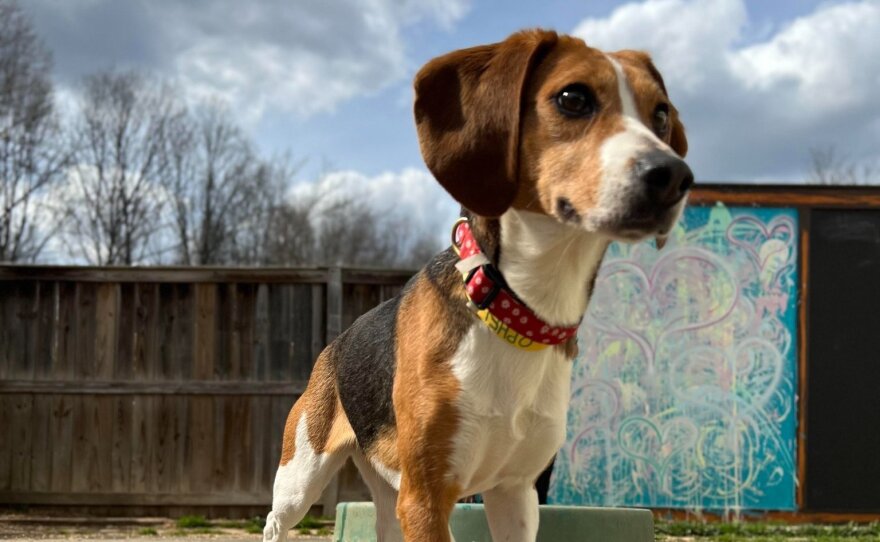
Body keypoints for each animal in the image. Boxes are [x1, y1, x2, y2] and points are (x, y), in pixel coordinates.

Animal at [264, 28, 692, 542]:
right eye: (573, 98)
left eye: (661, 114)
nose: (674, 175)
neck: (516, 310)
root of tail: (337, 340)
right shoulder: (426, 498)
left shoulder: (516, 495)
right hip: (301, 476)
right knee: (275, 520)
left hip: (388, 492)